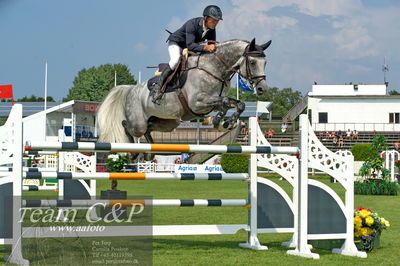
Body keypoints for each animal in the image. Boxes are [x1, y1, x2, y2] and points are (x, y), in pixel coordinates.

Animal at [97, 38, 272, 143]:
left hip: (168, 122)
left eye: (265, 62)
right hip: (138, 122)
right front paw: (222, 121)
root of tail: (131, 89)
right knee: (128, 126)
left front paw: (224, 122)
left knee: (149, 128)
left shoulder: (211, 102)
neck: (213, 69)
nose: (262, 88)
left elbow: (236, 104)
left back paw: (149, 152)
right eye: (252, 62)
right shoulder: (198, 102)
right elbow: (226, 102)